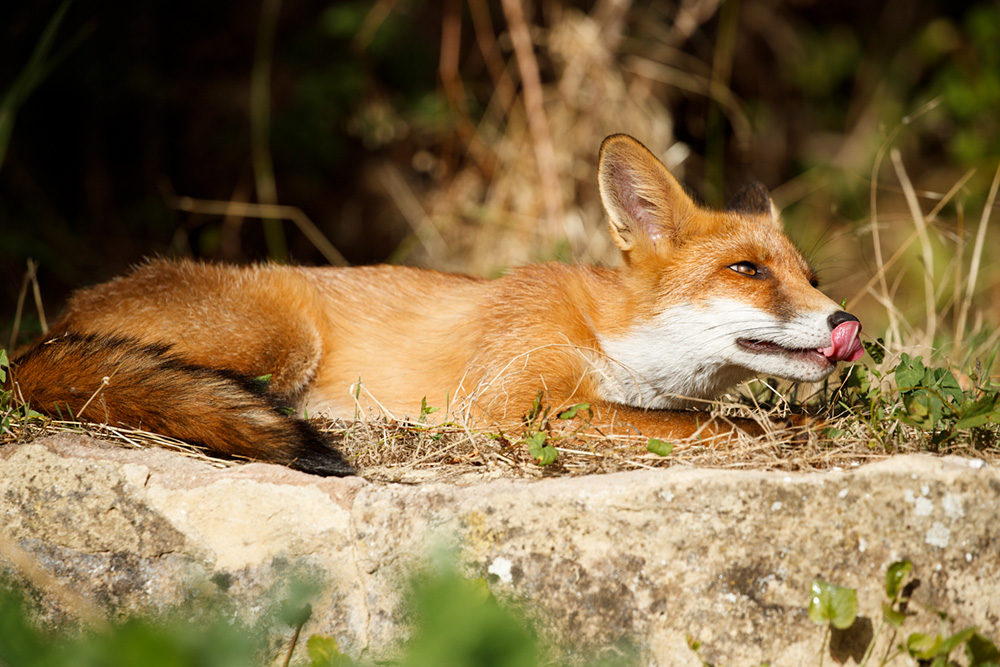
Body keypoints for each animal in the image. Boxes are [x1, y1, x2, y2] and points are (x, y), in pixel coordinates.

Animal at [7, 134, 863, 476]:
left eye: (811, 273)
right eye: (747, 269)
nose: (845, 322)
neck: (606, 334)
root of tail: (40, 337)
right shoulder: (517, 402)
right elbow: (710, 426)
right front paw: (788, 438)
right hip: (280, 336)